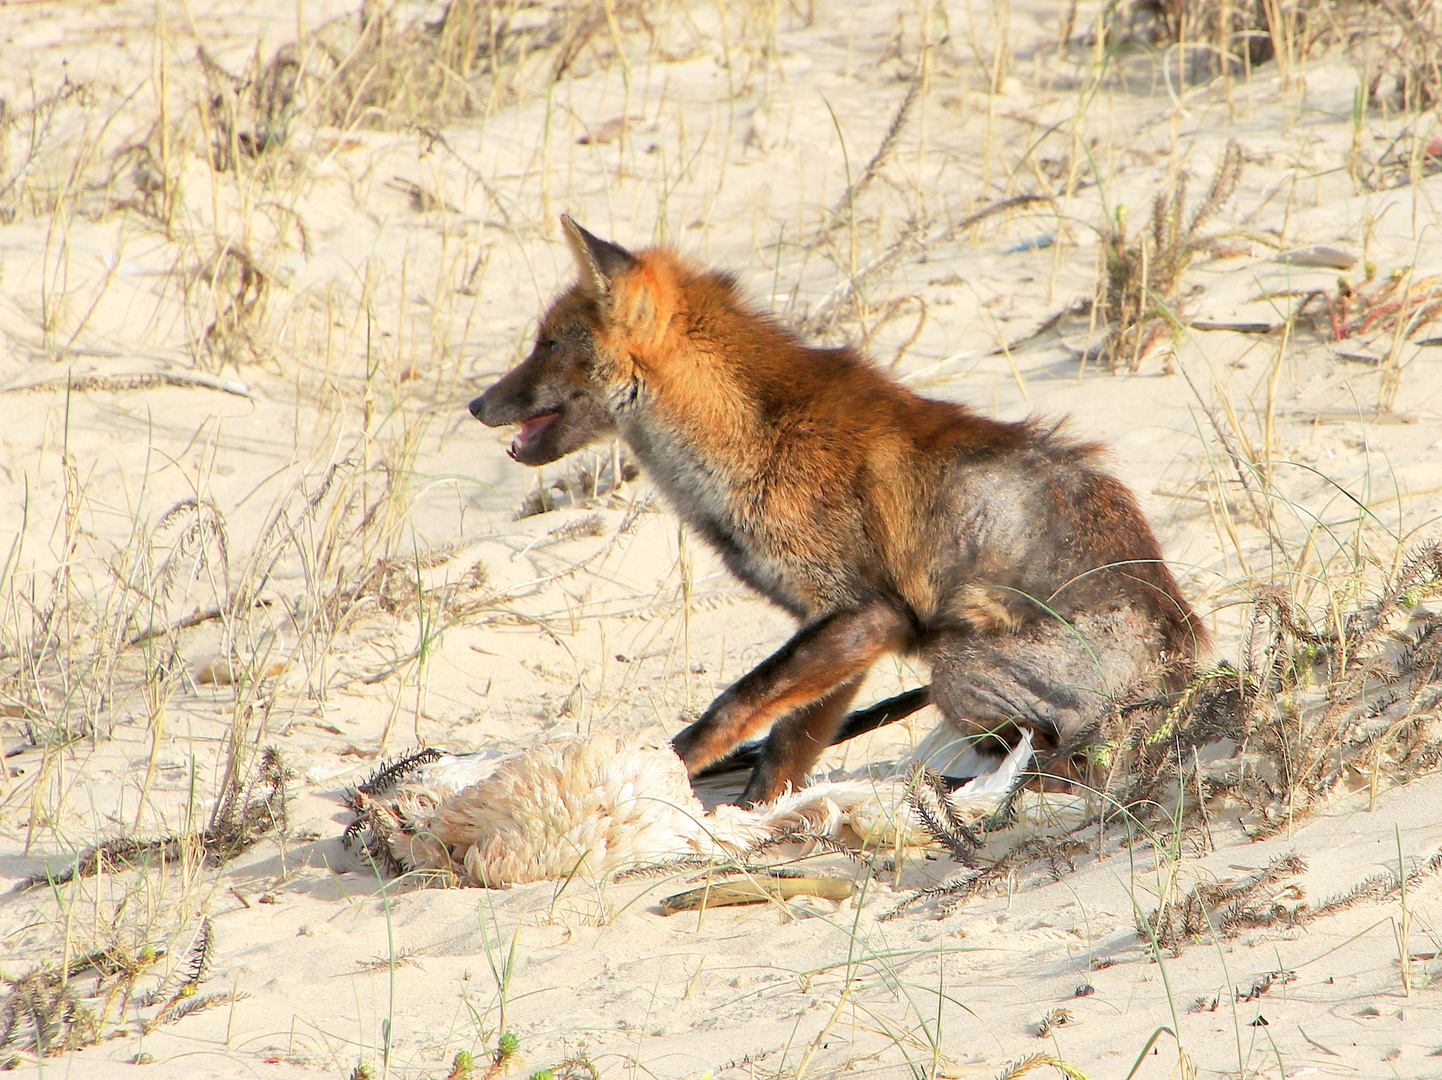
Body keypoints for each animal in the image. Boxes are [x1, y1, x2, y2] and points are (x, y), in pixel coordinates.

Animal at [472, 219, 1205, 807]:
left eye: (546, 345)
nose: (475, 406)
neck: (747, 439)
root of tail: (1186, 661)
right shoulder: (839, 633)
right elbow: (787, 747)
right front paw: (753, 819)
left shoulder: (866, 611)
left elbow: (730, 709)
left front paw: (655, 780)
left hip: (955, 662)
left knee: (1062, 762)